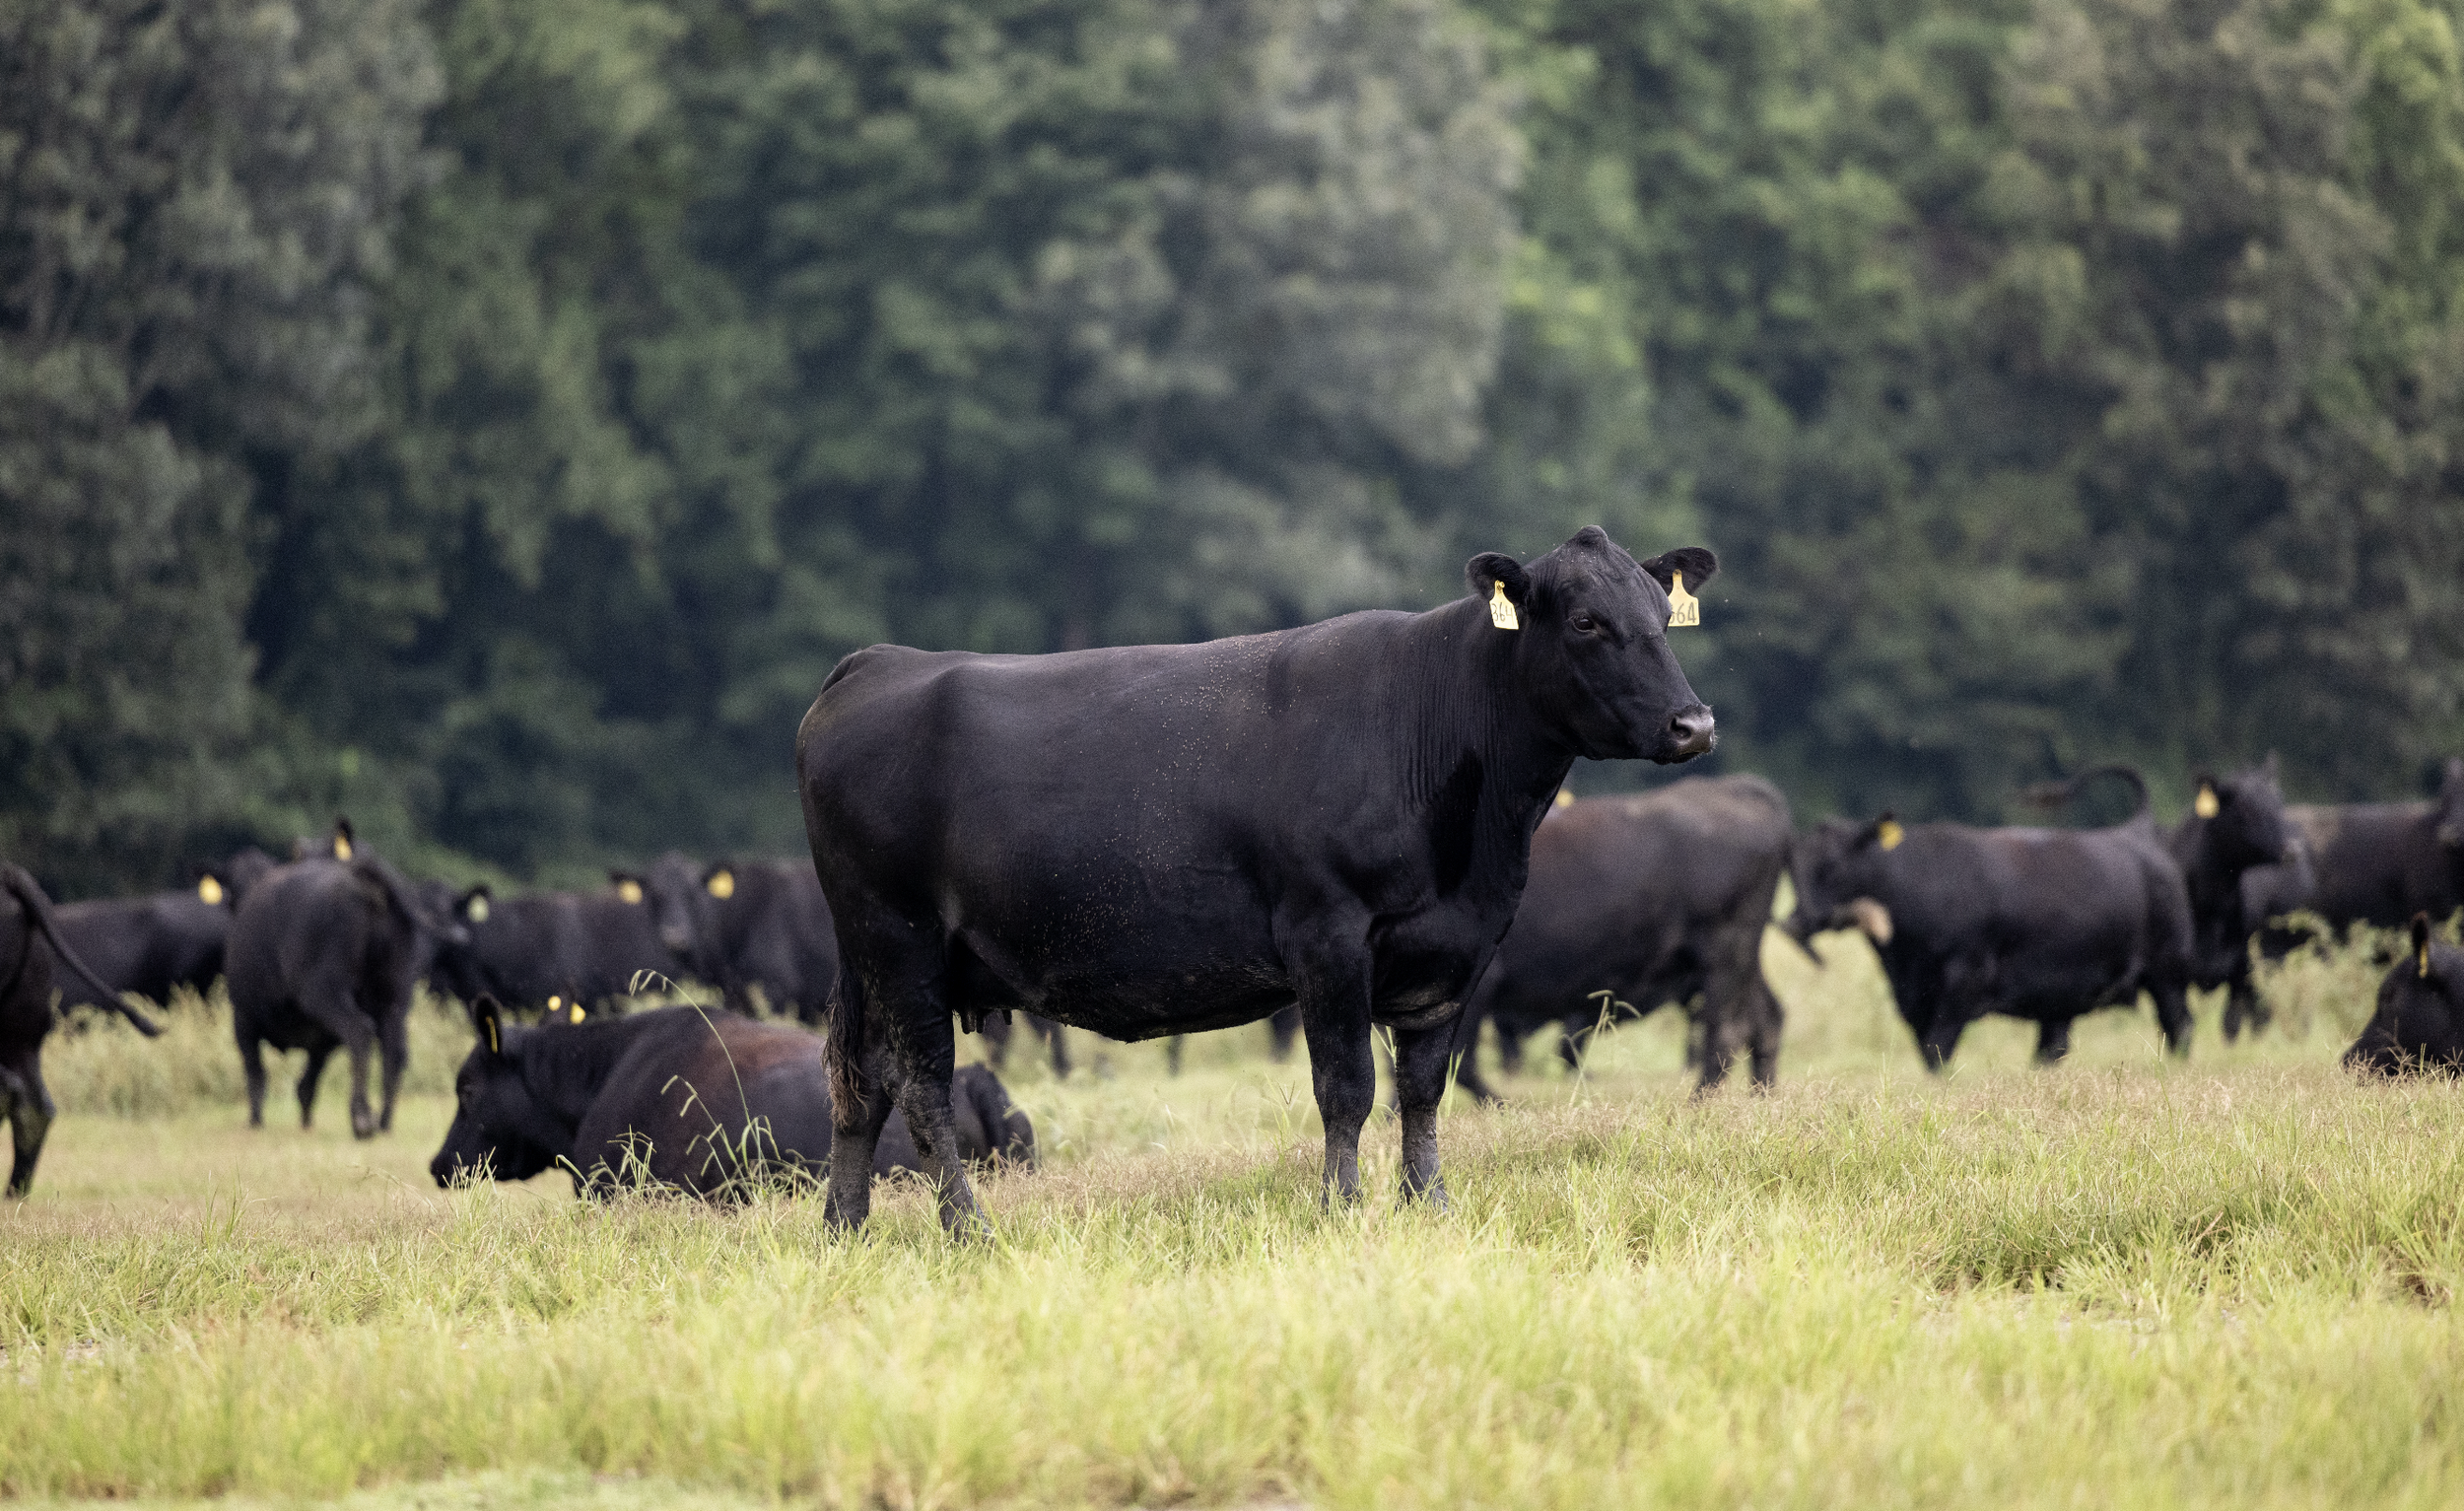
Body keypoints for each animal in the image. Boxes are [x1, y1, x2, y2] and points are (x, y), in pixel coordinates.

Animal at [226, 850, 470, 1138]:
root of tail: (364, 877)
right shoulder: (321, 1037)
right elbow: (308, 1077)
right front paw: (305, 1119)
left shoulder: (244, 1018)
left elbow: (256, 1072)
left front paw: (256, 1120)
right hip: (394, 998)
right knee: (394, 1050)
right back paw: (384, 1122)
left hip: (326, 993)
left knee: (360, 1032)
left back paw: (362, 1119)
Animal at [798, 526, 1718, 1236]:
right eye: (1588, 621)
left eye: (1662, 616)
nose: (1695, 722)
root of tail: (879, 663)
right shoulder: (1328, 933)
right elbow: (1347, 1087)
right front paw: (1341, 1209)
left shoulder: (1450, 951)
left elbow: (1422, 1088)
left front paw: (1428, 1206)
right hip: (899, 938)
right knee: (920, 1085)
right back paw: (968, 1229)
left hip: (876, 955)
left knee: (861, 1084)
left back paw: (845, 1229)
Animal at [1451, 776, 1793, 1100]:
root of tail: (1736, 788)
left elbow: (1461, 1064)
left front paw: (1504, 1105)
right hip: (1740, 961)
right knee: (1765, 1019)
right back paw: (1761, 1098)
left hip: (1724, 957)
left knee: (1726, 1031)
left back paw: (1698, 1103)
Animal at [1784, 766, 2196, 1068]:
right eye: (1793, 865)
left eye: (1833, 864)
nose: (1794, 921)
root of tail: (2137, 831)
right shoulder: (1914, 997)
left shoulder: (1962, 984)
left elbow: (1937, 1051)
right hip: (2061, 993)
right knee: (2053, 1047)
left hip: (2168, 973)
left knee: (2180, 1026)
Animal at [2163, 759, 2297, 1041]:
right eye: (2245, 808)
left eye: (2279, 801)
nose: (2292, 849)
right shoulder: (2173, 973)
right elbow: (2182, 1024)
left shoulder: (2242, 969)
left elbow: (2231, 1025)